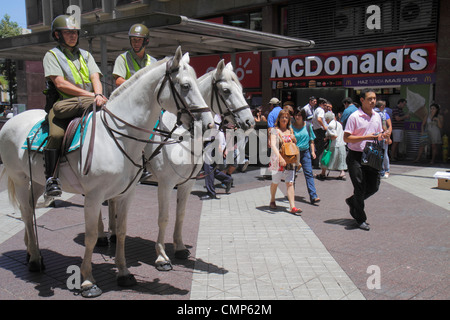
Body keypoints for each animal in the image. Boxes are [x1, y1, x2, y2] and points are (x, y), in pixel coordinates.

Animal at [0, 47, 214, 298]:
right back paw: (34, 259)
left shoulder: (127, 193)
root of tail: (11, 120)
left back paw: (32, 253)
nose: (209, 123)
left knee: (30, 212)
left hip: (38, 181)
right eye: (186, 85)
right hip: (20, 179)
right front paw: (87, 281)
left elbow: (121, 230)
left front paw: (123, 273)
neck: (117, 136)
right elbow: (92, 236)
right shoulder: (94, 197)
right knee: (25, 213)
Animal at [108, 59, 256, 270]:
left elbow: (181, 215)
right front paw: (162, 257)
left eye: (242, 90)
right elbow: (164, 218)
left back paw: (113, 234)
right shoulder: (165, 184)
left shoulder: (186, 183)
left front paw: (179, 248)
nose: (250, 121)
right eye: (226, 90)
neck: (183, 137)